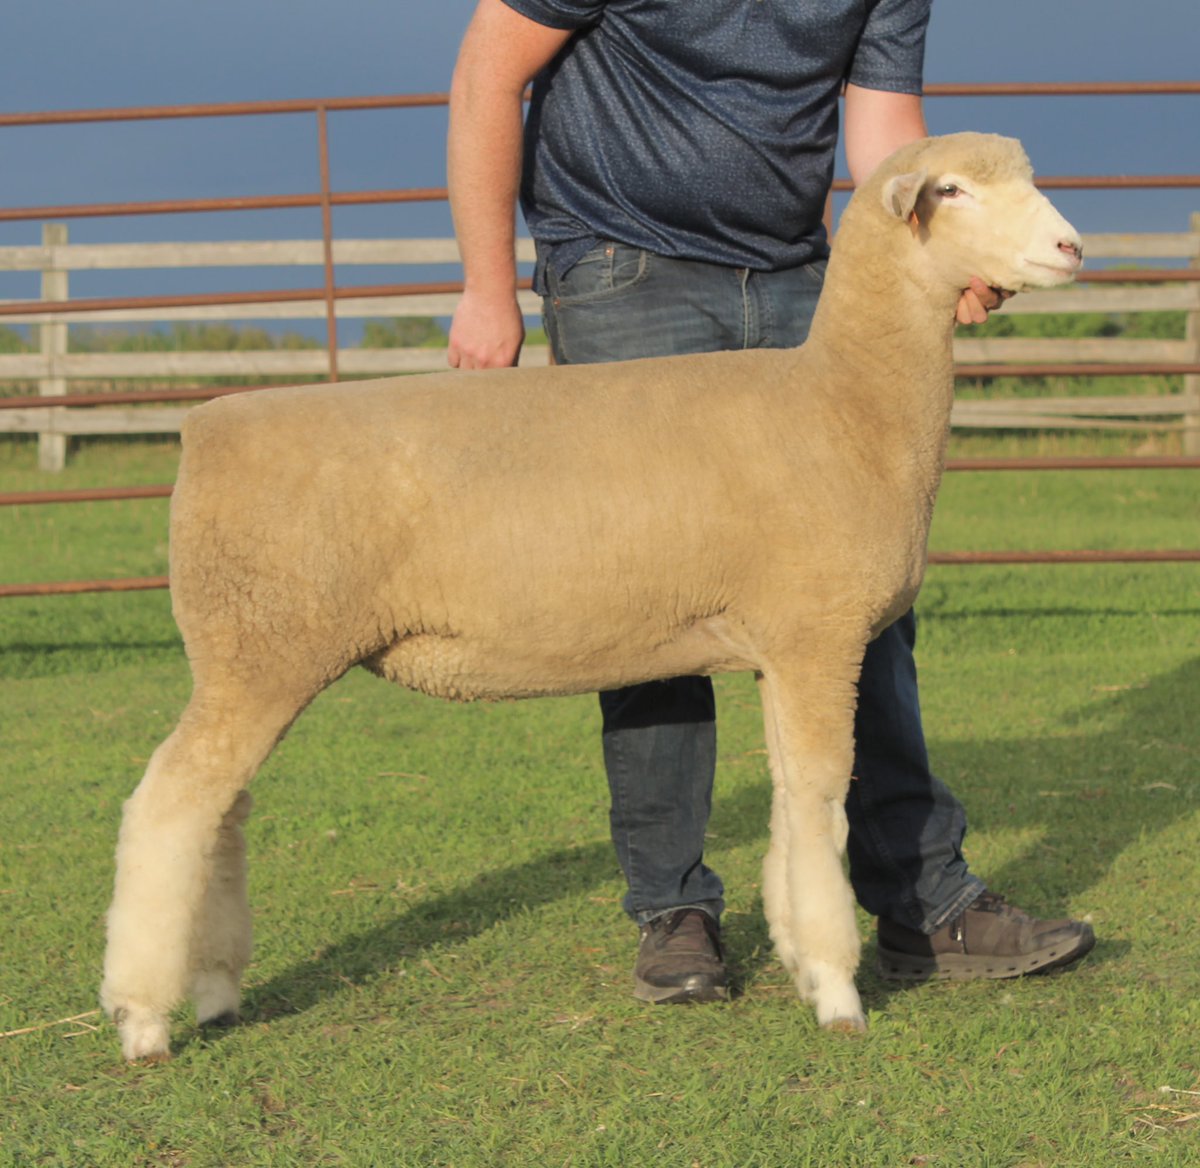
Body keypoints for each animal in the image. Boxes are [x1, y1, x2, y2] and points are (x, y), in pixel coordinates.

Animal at [101, 133, 1082, 1061]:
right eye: (951, 189)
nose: (1072, 246)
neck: (848, 404)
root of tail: (203, 427)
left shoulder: (778, 647)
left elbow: (786, 806)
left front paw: (805, 965)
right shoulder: (819, 635)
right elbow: (819, 808)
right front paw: (838, 994)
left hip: (253, 654)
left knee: (220, 813)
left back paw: (215, 990)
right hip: (259, 644)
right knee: (169, 807)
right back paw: (144, 1018)